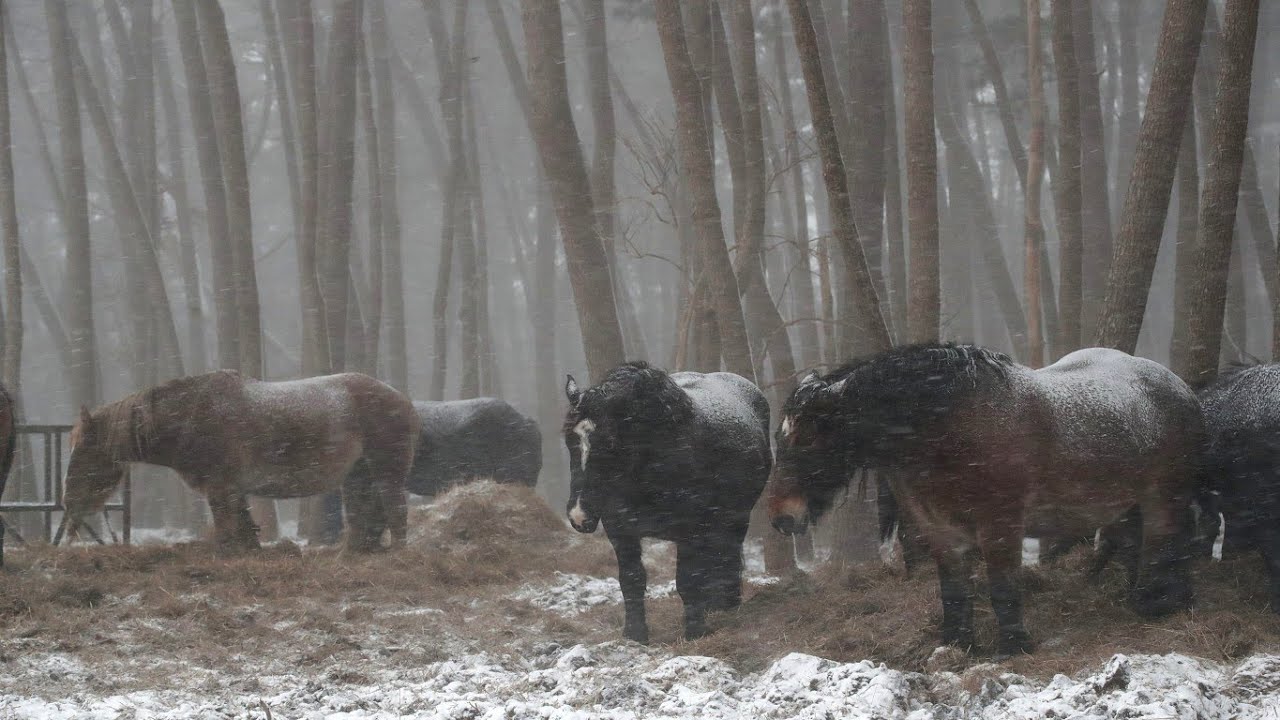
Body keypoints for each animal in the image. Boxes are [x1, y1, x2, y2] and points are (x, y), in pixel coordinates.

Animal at [58, 370, 418, 554]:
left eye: (85, 452)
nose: (68, 503)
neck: (190, 416)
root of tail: (403, 400)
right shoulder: (233, 490)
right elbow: (245, 530)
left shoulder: (221, 488)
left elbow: (228, 530)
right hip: (358, 477)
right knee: (365, 518)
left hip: (386, 472)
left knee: (395, 511)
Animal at [563, 362, 771, 642]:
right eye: (569, 441)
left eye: (610, 443)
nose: (579, 515)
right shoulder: (620, 529)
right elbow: (631, 579)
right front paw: (635, 634)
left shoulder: (690, 530)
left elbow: (687, 579)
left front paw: (695, 631)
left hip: (736, 517)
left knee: (727, 555)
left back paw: (727, 604)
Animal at [767, 343, 1202, 657]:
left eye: (810, 440)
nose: (781, 518)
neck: (949, 428)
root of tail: (1182, 389)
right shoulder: (940, 529)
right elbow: (954, 591)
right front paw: (957, 646)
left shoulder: (1000, 525)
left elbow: (1003, 587)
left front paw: (1013, 646)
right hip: (1126, 503)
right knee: (1136, 545)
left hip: (1164, 497)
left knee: (1168, 544)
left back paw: (1156, 604)